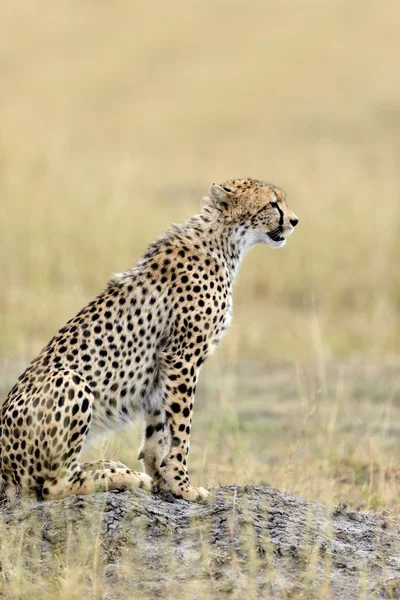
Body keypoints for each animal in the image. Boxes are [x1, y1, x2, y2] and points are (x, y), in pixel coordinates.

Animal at [0, 177, 298, 502]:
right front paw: (183, 486)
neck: (224, 241)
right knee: (52, 485)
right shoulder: (182, 358)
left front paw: (163, 480)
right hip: (70, 379)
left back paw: (114, 466)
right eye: (272, 204)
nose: (294, 221)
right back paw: (121, 476)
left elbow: (158, 429)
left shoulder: (163, 365)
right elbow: (181, 430)